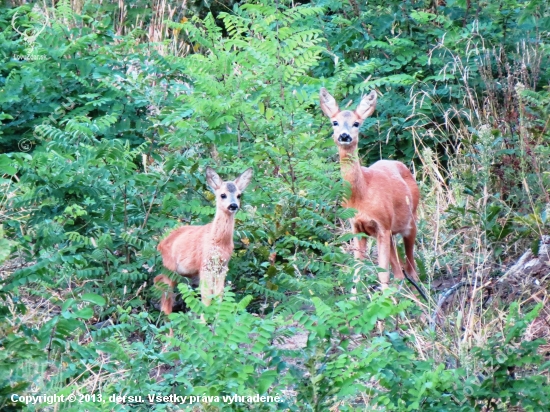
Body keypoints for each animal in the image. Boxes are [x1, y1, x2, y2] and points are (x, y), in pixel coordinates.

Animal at [155, 166, 254, 314]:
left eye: (239, 195)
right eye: (222, 195)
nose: (233, 205)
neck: (218, 242)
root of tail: (160, 243)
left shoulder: (223, 266)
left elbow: (218, 297)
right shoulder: (204, 265)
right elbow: (206, 298)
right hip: (170, 266)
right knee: (166, 296)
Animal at [320, 88, 422, 292]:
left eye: (356, 123)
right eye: (334, 122)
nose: (344, 136)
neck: (361, 196)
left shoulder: (382, 224)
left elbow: (383, 274)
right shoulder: (357, 228)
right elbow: (356, 274)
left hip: (410, 220)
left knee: (411, 266)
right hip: (390, 233)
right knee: (400, 271)